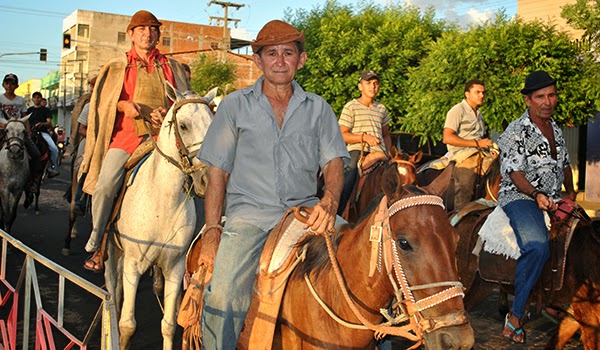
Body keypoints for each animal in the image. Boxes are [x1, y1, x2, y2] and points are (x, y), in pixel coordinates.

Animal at [104, 82, 217, 350]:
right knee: (113, 286)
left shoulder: (174, 268)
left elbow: (168, 325)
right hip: (112, 251)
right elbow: (127, 325)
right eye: (183, 125)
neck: (162, 200)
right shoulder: (134, 265)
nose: (206, 180)